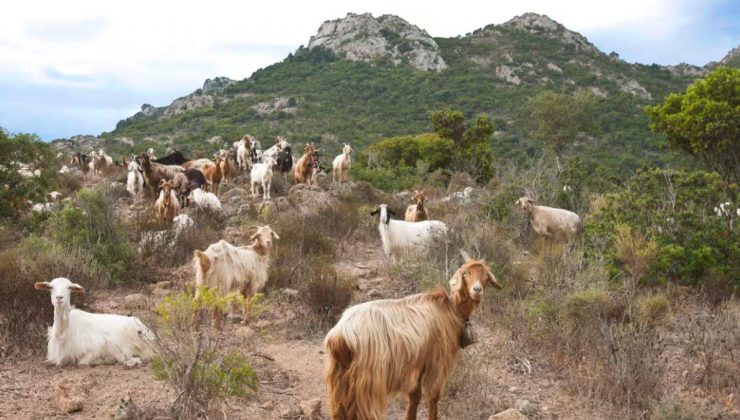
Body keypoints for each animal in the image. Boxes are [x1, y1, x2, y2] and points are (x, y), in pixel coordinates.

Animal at [326, 251, 502, 418]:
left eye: (486, 275)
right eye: (465, 273)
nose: (477, 290)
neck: (451, 309)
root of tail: (340, 336)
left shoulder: (418, 364)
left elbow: (415, 396)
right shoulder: (437, 362)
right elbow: (433, 397)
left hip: (340, 378)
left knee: (339, 411)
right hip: (368, 382)